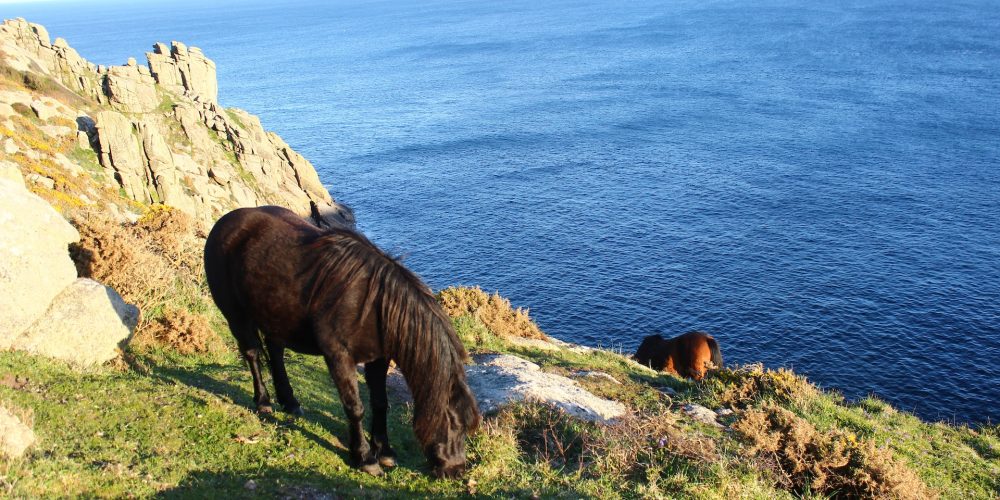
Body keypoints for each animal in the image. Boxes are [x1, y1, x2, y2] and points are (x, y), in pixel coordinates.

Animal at [204, 206, 480, 478]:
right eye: (454, 424)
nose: (456, 470)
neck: (374, 306)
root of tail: (225, 222)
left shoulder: (378, 359)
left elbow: (380, 403)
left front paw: (385, 451)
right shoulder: (339, 357)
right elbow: (355, 407)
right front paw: (364, 457)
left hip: (275, 316)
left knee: (276, 352)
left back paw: (290, 402)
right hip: (236, 314)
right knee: (252, 353)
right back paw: (263, 401)